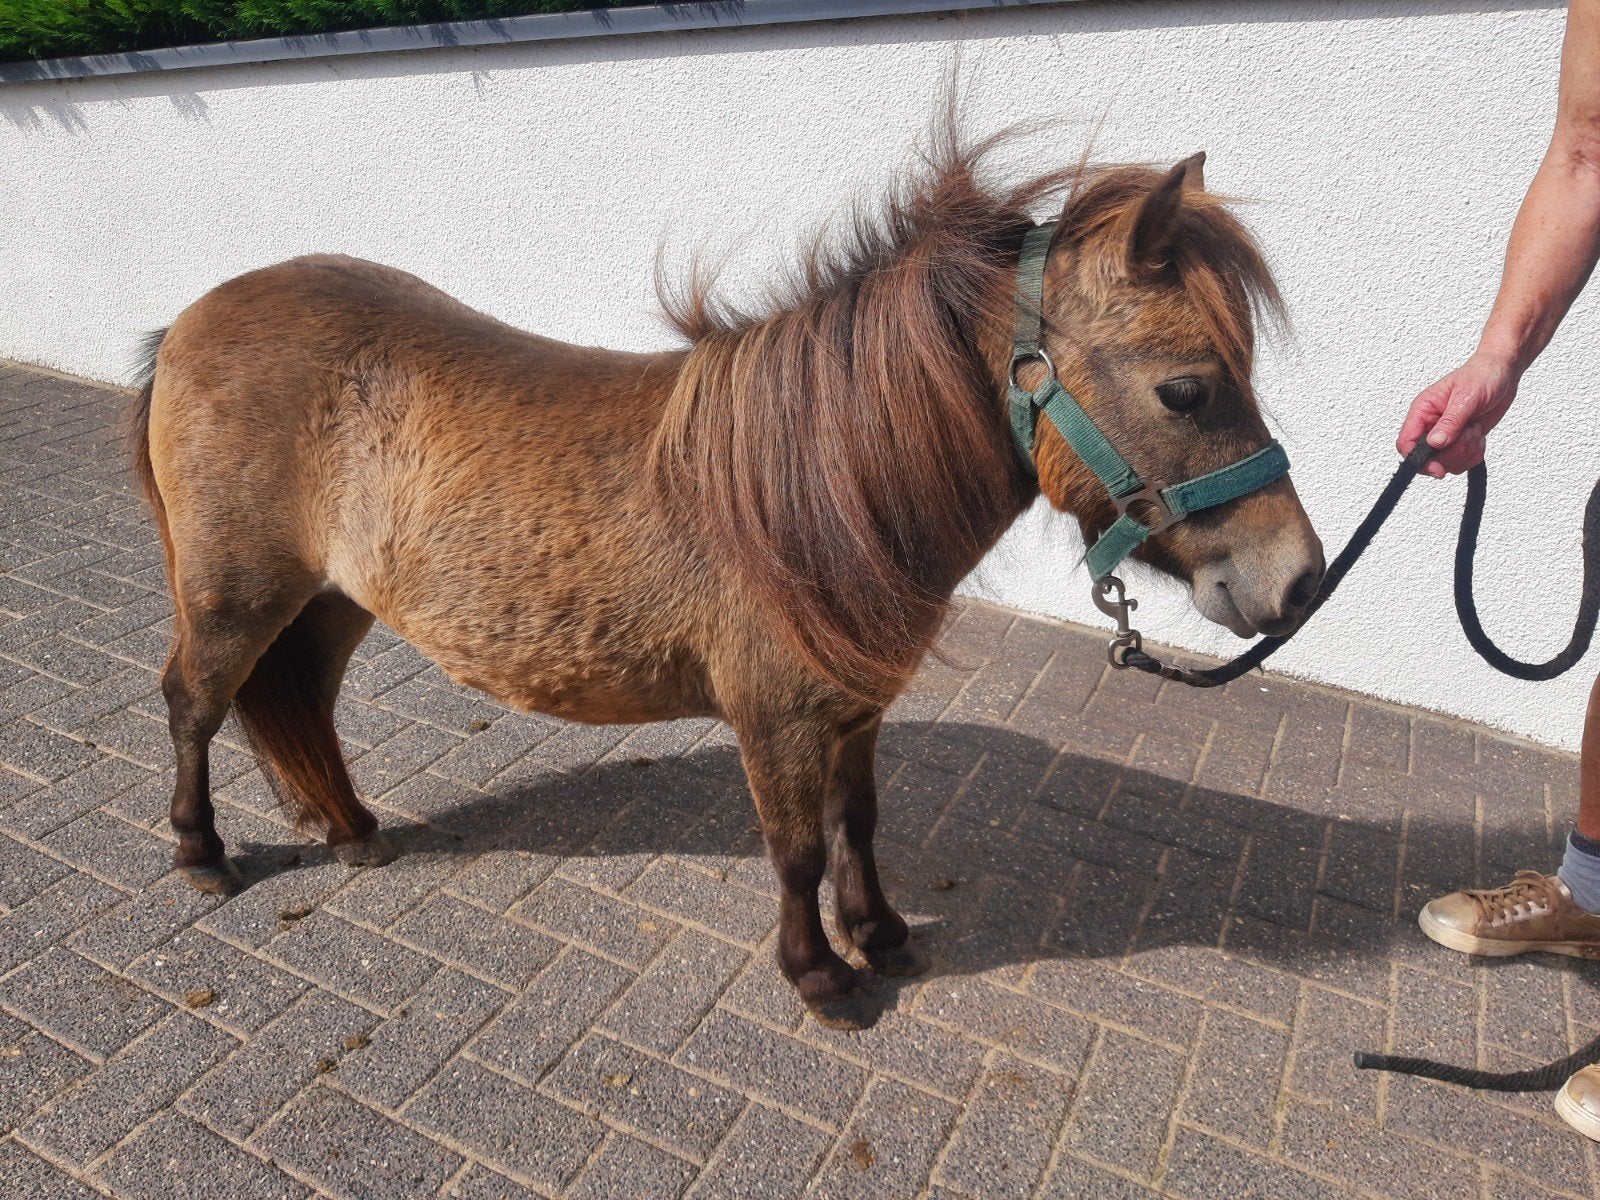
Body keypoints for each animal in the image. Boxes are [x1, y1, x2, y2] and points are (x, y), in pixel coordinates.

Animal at [129, 128, 1323, 1030]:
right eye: (1186, 388)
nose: (1299, 582)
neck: (817, 491)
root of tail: (191, 318)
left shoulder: (852, 714)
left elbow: (857, 825)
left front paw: (881, 936)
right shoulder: (776, 718)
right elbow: (793, 851)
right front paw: (821, 976)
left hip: (332, 602)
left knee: (304, 701)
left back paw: (351, 830)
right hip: (237, 595)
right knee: (193, 700)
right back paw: (202, 852)